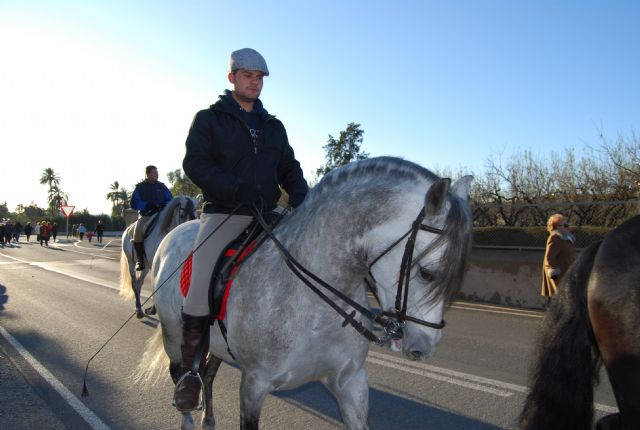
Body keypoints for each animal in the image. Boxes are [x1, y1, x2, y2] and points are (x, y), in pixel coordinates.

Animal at [138, 158, 472, 430]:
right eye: (428, 273)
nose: (424, 348)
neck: (314, 308)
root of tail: (173, 234)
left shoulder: (351, 382)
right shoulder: (254, 385)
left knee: (207, 373)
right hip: (173, 336)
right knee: (181, 371)